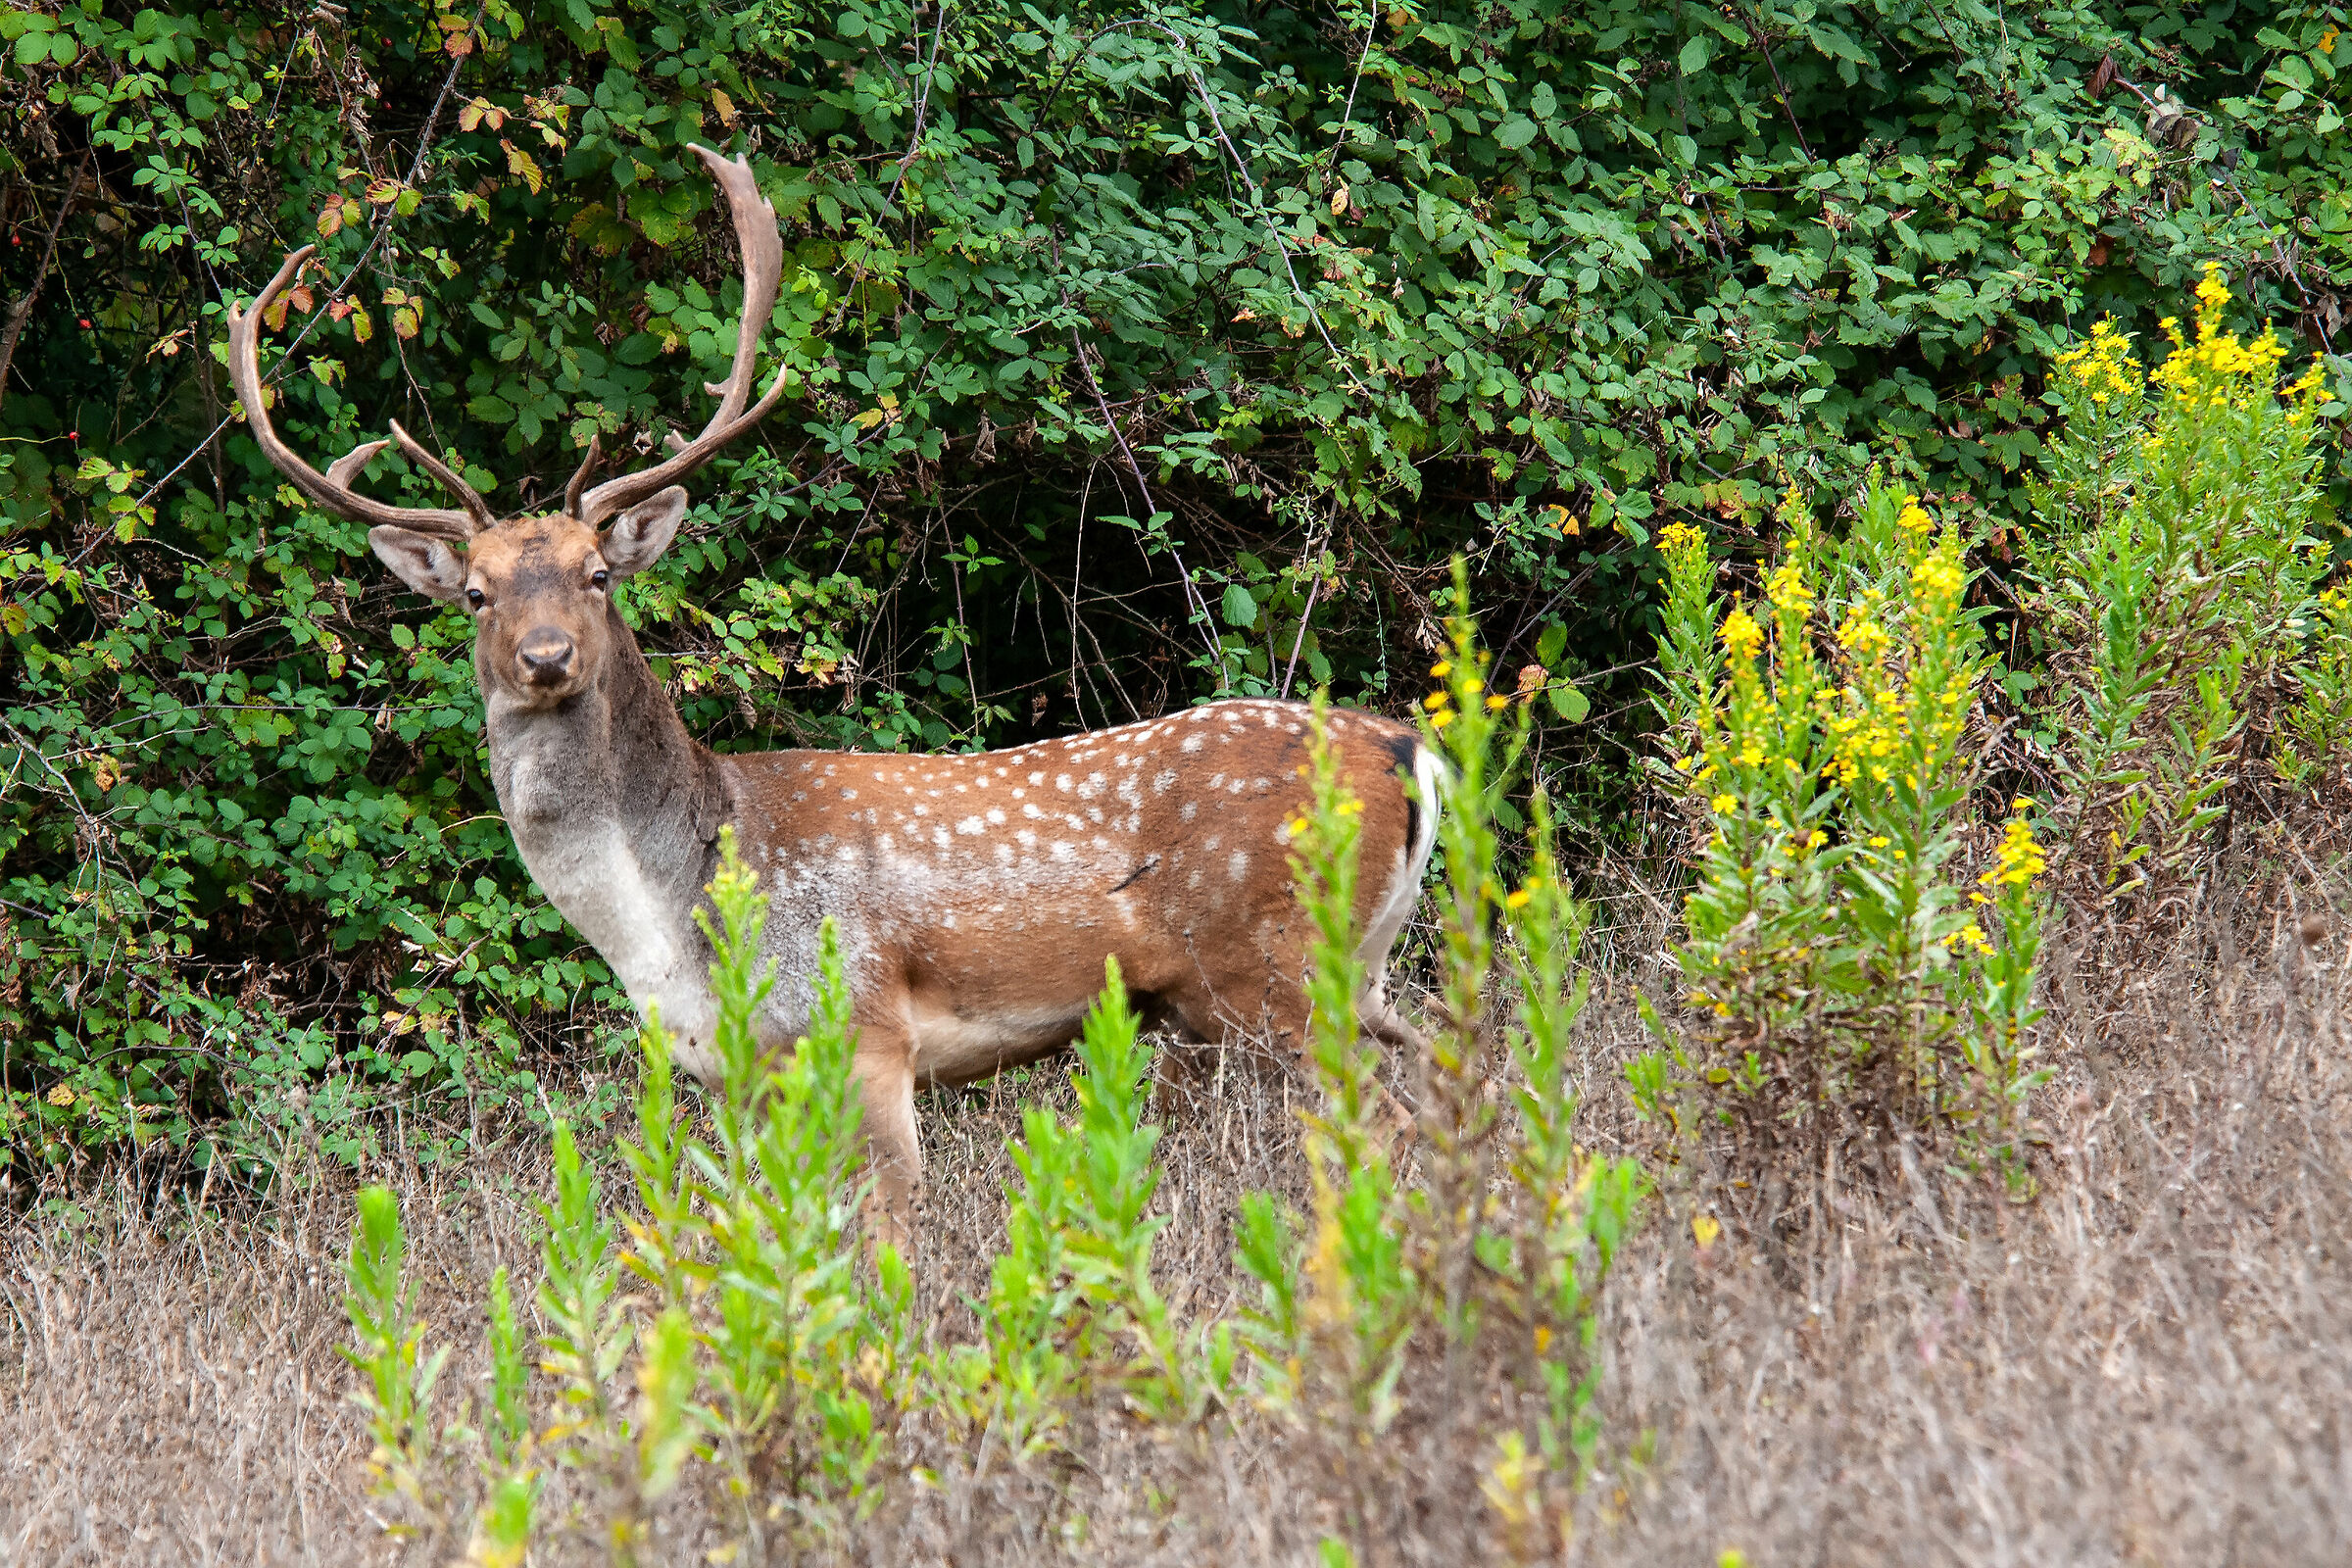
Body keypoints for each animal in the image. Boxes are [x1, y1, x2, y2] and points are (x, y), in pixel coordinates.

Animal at [226, 145, 1442, 1229]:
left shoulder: (857, 1021)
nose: (547, 656)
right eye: (476, 593)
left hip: (1274, 966)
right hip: (1358, 969)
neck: (672, 919)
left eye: (596, 573)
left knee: (1381, 1124)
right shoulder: (737, 1071)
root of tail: (1406, 749)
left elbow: (887, 1226)